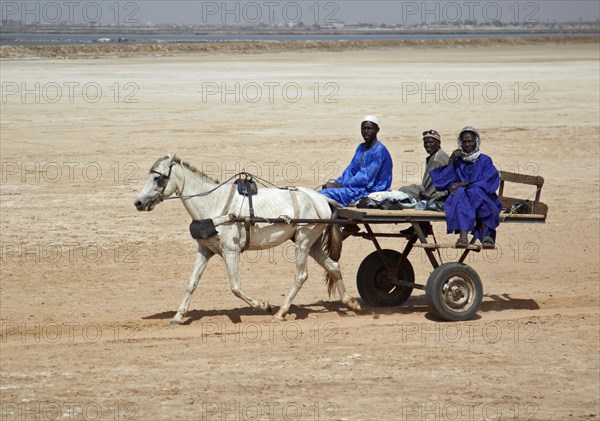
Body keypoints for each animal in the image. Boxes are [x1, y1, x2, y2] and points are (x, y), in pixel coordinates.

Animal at [135, 153, 360, 324]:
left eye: (158, 178)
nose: (138, 202)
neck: (214, 204)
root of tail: (322, 199)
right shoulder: (205, 250)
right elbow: (192, 283)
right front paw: (178, 316)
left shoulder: (230, 250)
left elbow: (235, 287)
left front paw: (264, 305)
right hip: (311, 243)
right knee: (332, 266)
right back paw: (351, 303)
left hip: (304, 241)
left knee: (301, 275)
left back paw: (281, 312)